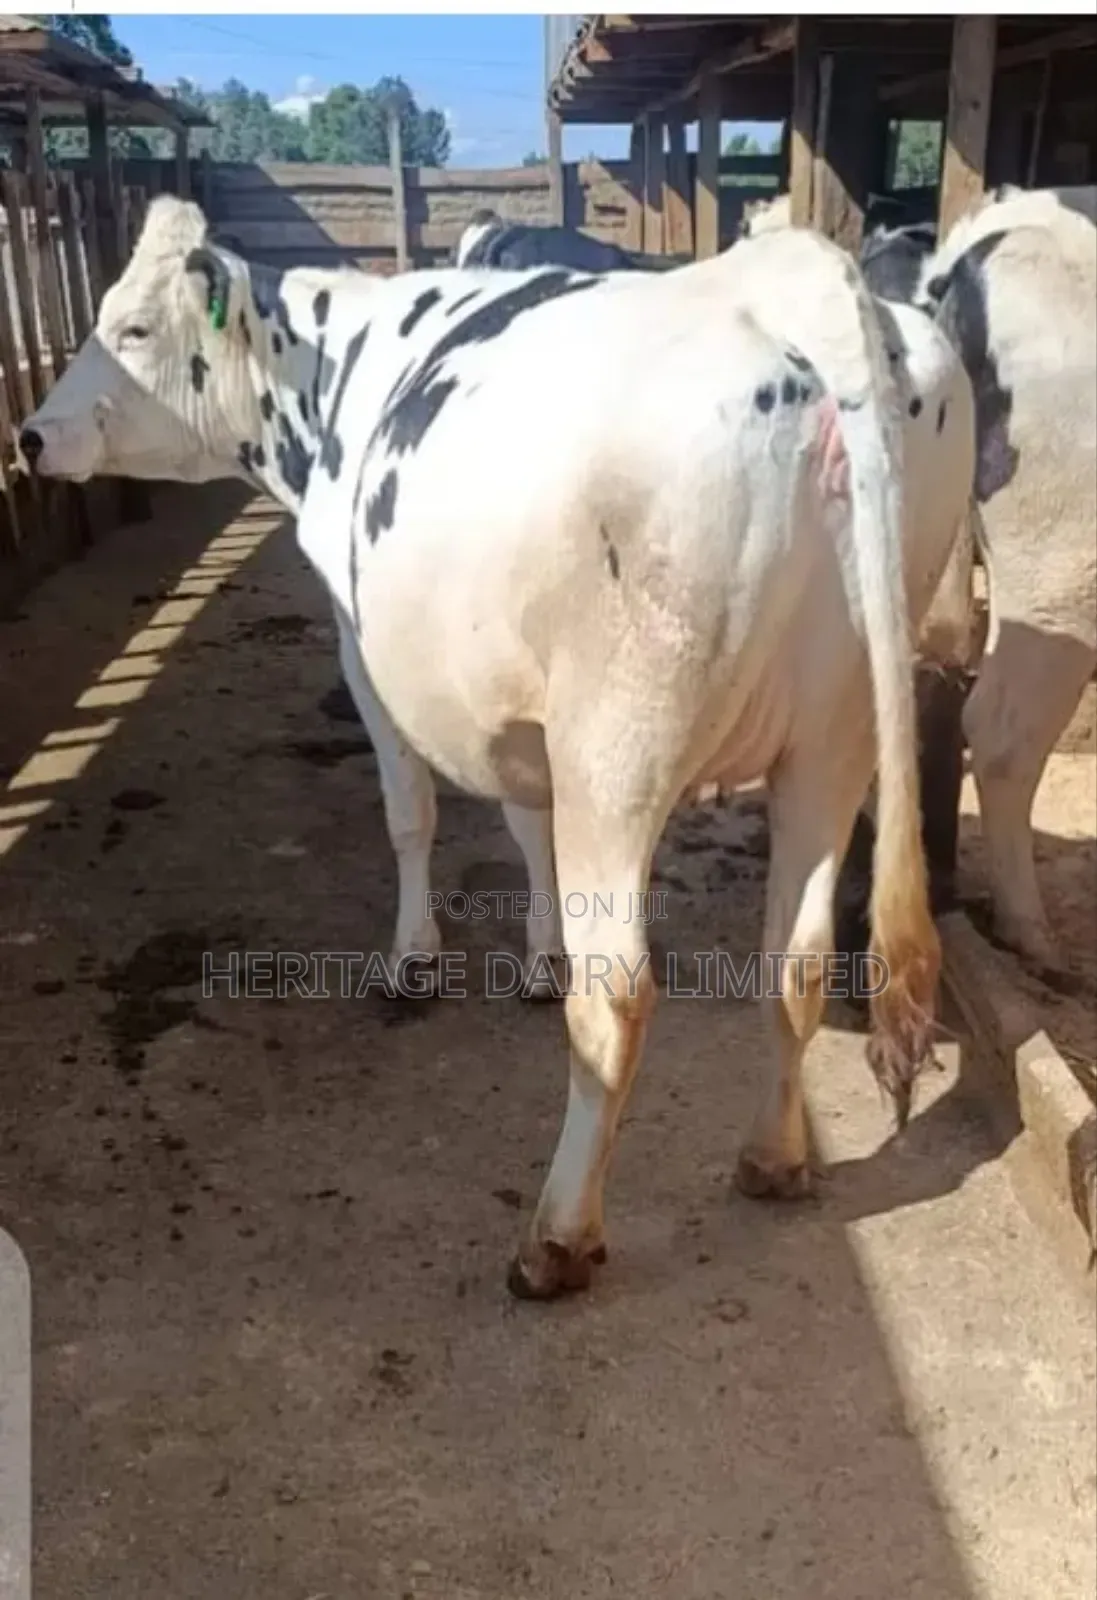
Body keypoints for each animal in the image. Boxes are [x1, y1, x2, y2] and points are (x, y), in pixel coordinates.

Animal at [18, 196, 975, 1298]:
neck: (330, 369)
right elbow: (525, 825)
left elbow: (410, 813)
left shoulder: (365, 650)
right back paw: (772, 1159)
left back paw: (556, 1237)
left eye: (130, 328)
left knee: (619, 996)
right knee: (796, 957)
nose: (29, 435)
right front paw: (538, 956)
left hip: (620, 746)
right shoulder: (520, 702)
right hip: (833, 733)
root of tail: (798, 284)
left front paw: (413, 963)